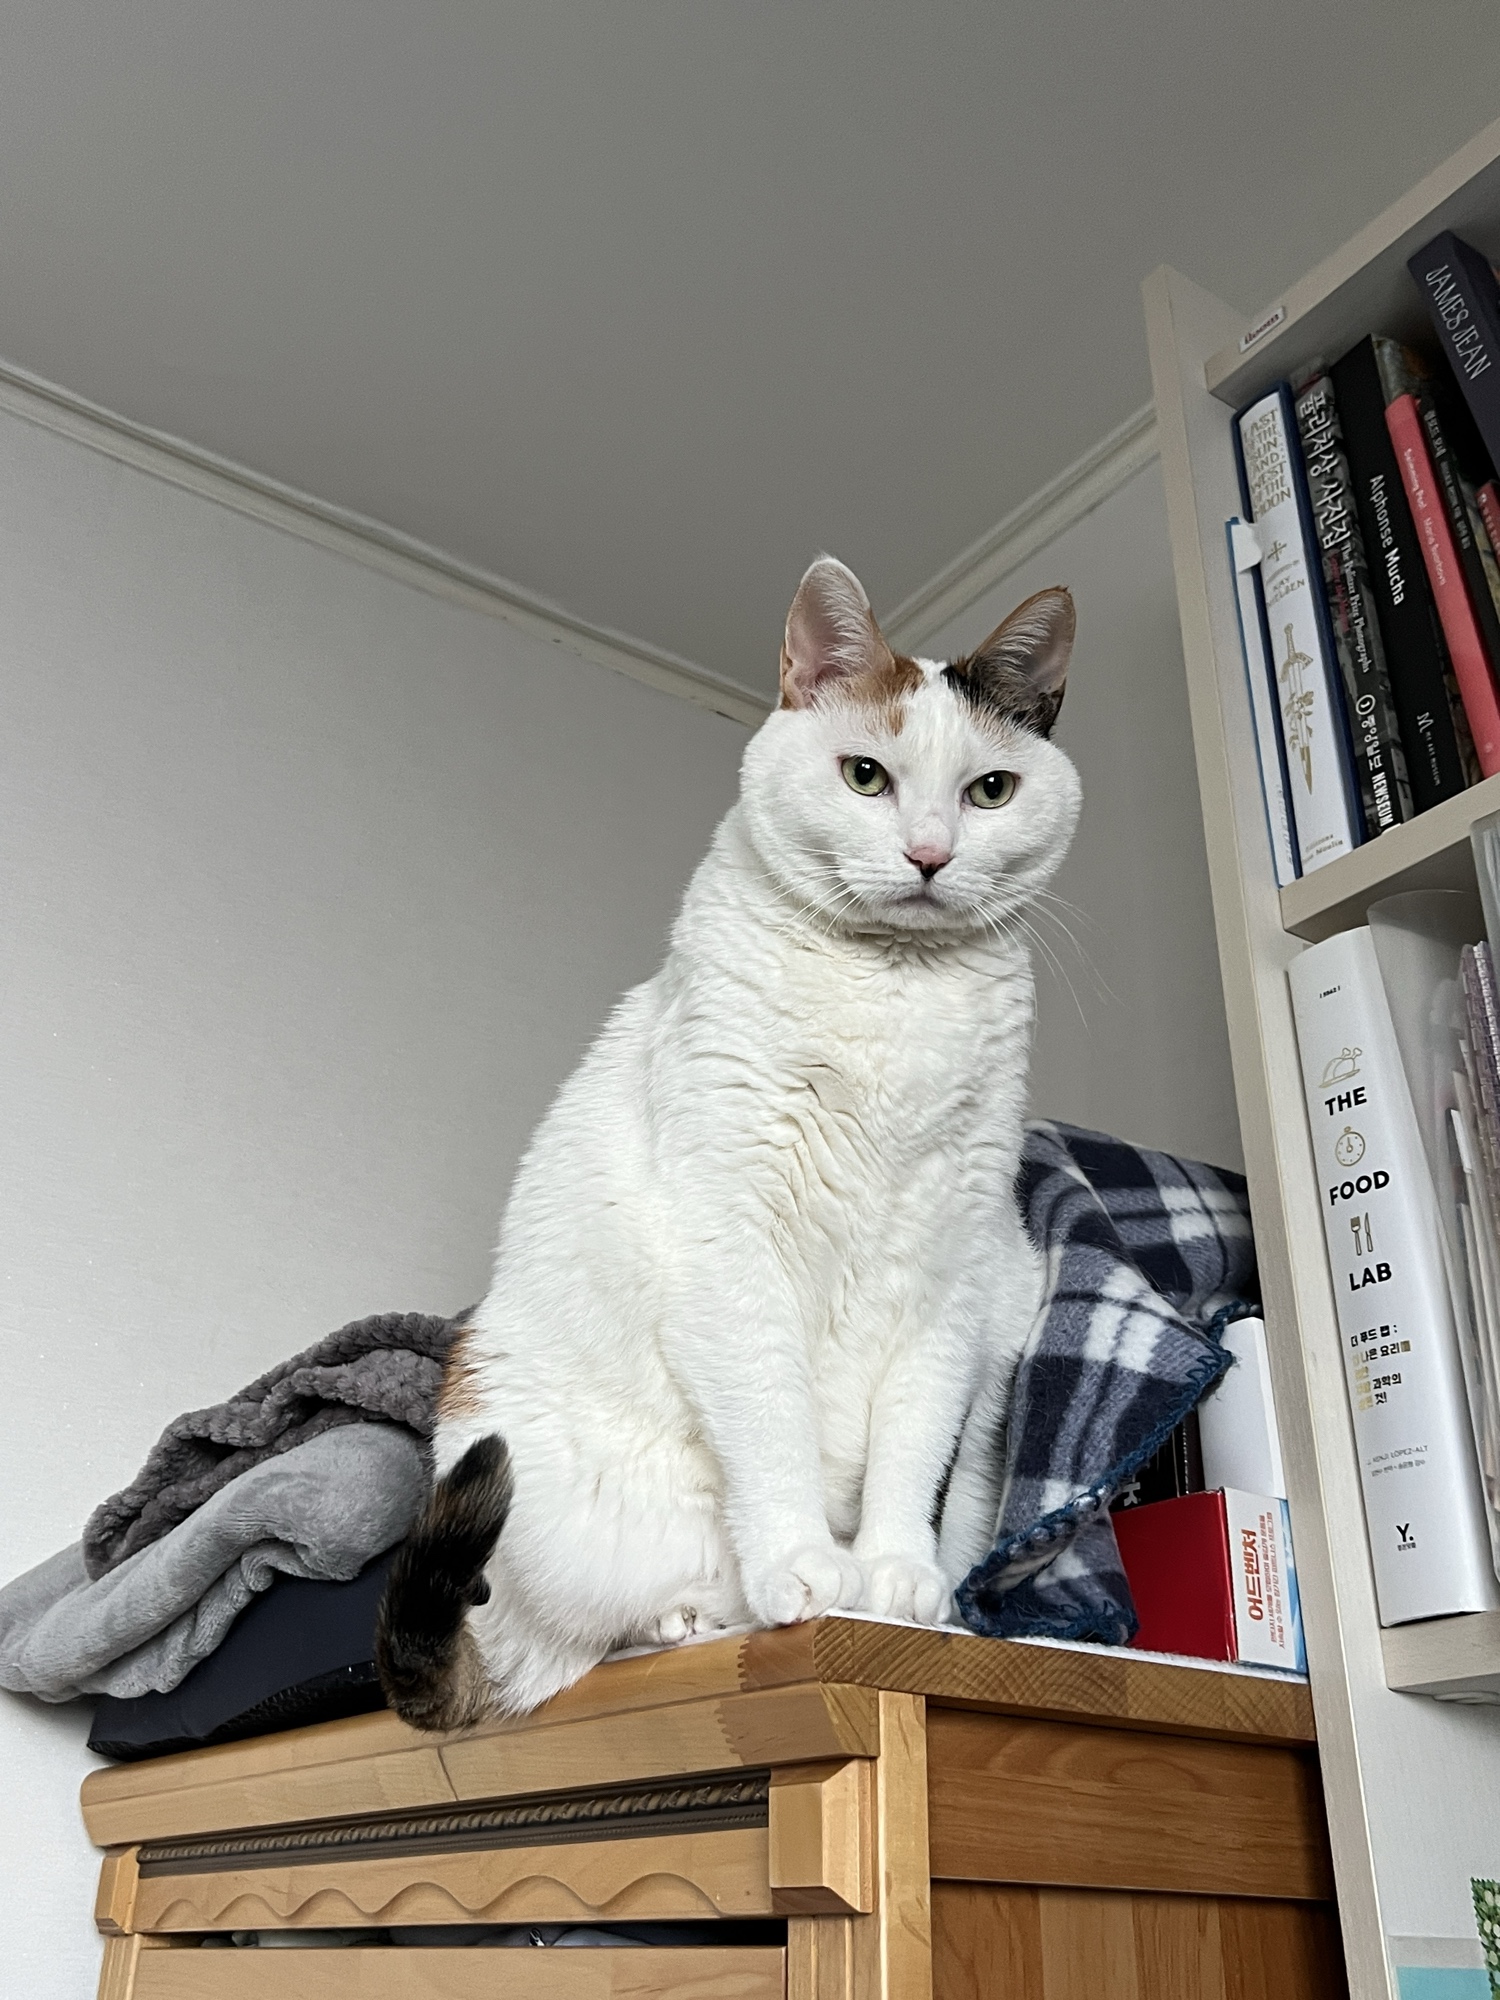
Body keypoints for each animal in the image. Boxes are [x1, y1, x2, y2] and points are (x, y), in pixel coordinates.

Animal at [376, 555, 1081, 1726]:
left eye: (991, 791)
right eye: (865, 775)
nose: (930, 855)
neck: (895, 996)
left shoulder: (951, 1272)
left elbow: (914, 1440)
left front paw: (896, 1576)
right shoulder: (731, 1244)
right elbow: (772, 1420)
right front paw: (805, 1564)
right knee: (605, 1632)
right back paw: (707, 1612)